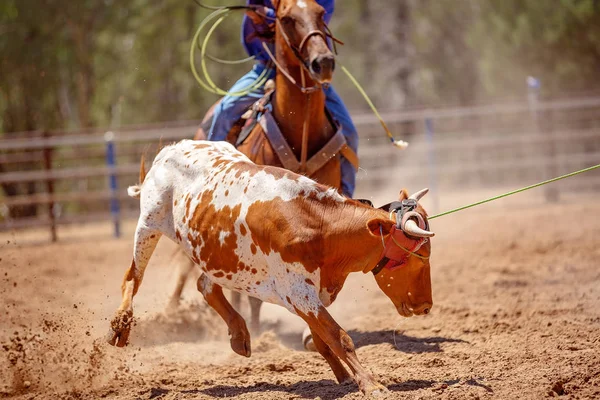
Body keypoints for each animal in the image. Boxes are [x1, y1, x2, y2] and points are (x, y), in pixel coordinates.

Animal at [108, 140, 434, 394]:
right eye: (418, 255)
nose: (426, 305)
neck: (317, 224)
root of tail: (170, 150)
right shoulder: (300, 293)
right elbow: (339, 336)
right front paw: (370, 384)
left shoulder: (309, 295)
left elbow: (322, 338)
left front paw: (344, 377)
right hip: (148, 224)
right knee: (132, 278)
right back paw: (120, 326)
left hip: (217, 256)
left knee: (205, 284)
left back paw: (239, 333)